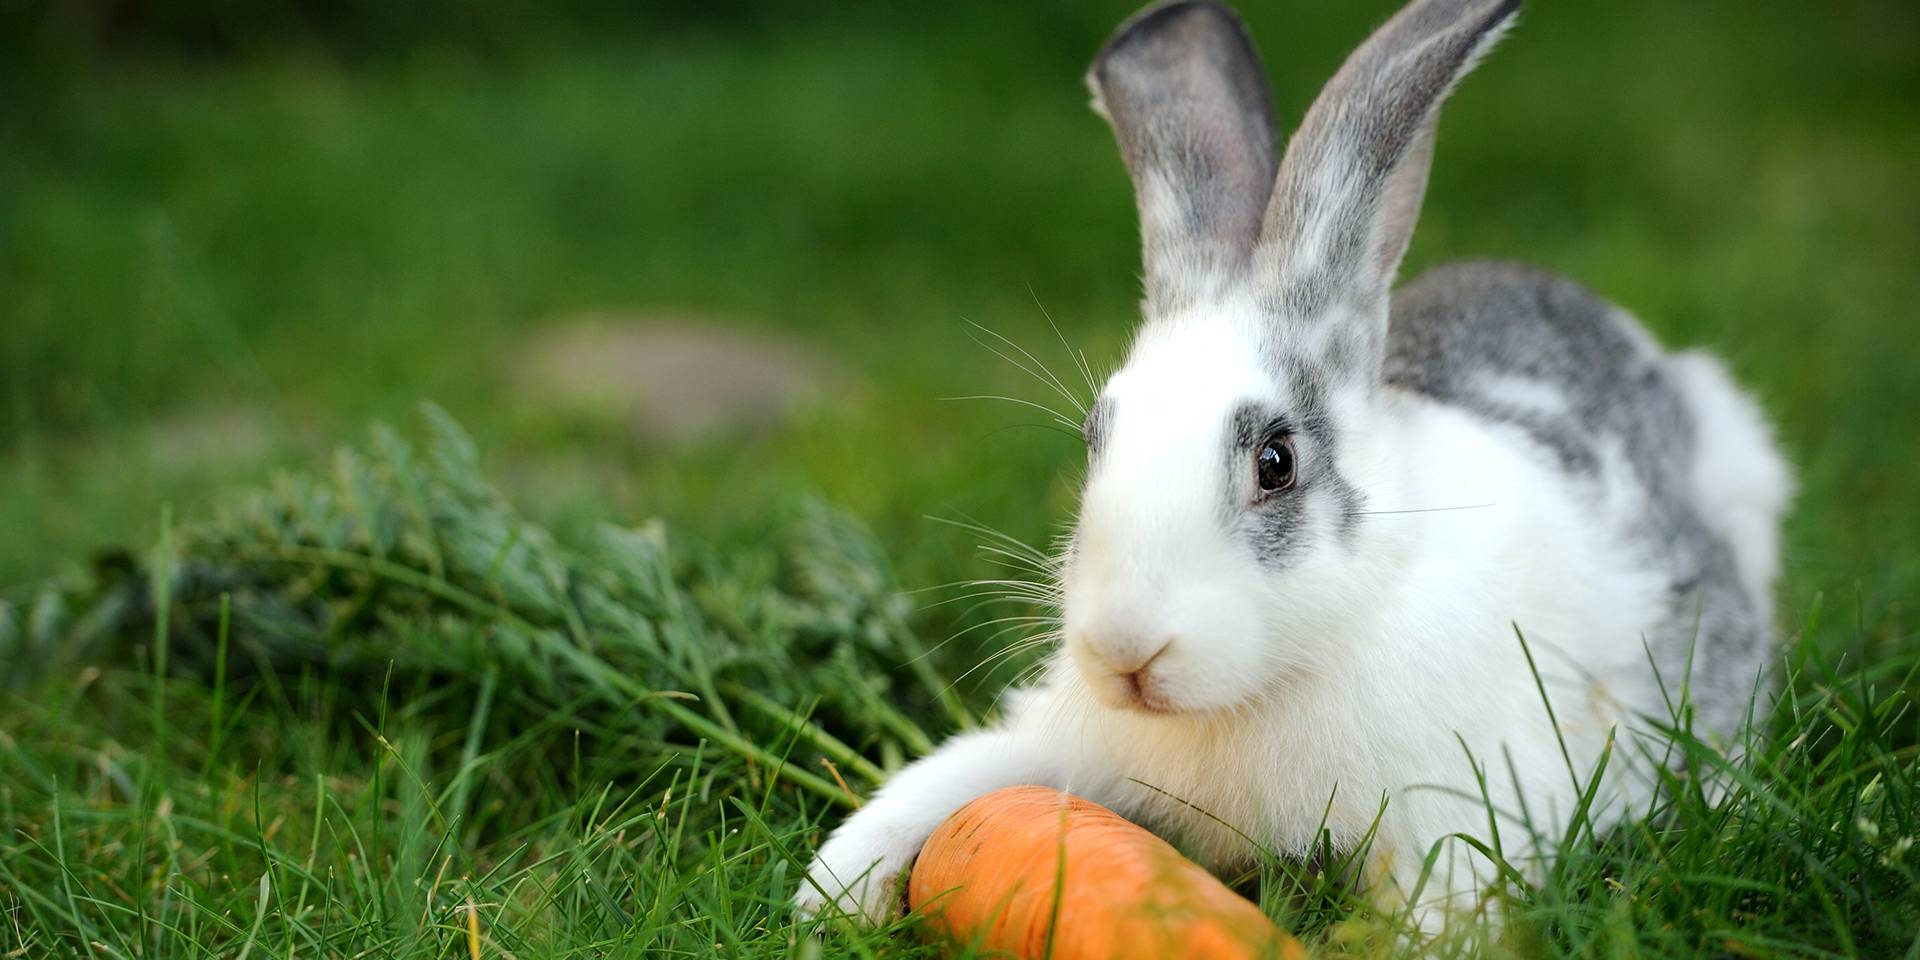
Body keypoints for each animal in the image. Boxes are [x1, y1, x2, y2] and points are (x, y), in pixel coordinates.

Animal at [791, 0, 1781, 929]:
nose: (1126, 651)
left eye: (1276, 461)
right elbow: (946, 778)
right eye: (1093, 437)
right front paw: (827, 898)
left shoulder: (1458, 808)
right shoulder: (1061, 743)